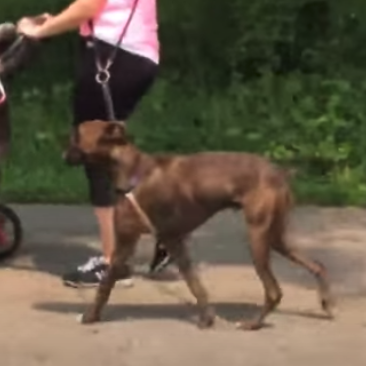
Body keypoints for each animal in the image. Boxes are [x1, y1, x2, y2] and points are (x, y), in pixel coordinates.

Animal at [63, 121, 334, 332]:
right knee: (317, 265)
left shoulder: (136, 243)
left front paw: (90, 316)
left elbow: (105, 286)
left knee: (274, 291)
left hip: (258, 238)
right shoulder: (172, 243)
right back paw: (326, 304)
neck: (131, 170)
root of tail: (279, 173)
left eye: (76, 135)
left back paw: (253, 324)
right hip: (275, 237)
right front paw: (207, 318)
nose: (63, 153)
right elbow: (195, 285)